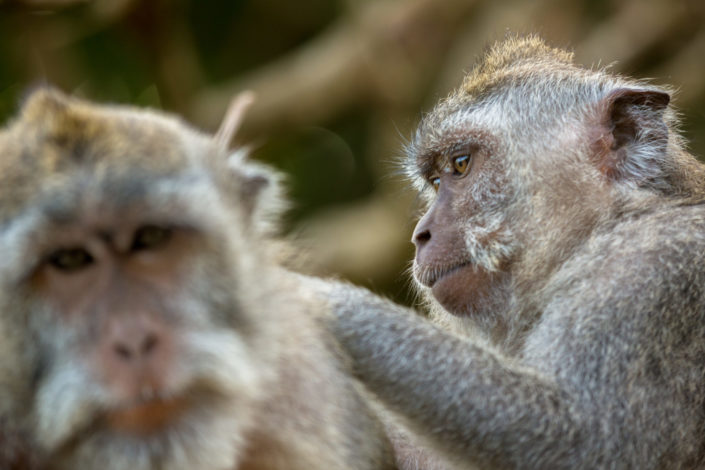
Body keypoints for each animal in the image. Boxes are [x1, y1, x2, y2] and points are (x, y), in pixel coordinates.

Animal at [316, 35, 704, 468]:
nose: (421, 235)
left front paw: (316, 301)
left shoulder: (649, 276)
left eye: (461, 164)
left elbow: (585, 442)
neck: (613, 221)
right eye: (435, 180)